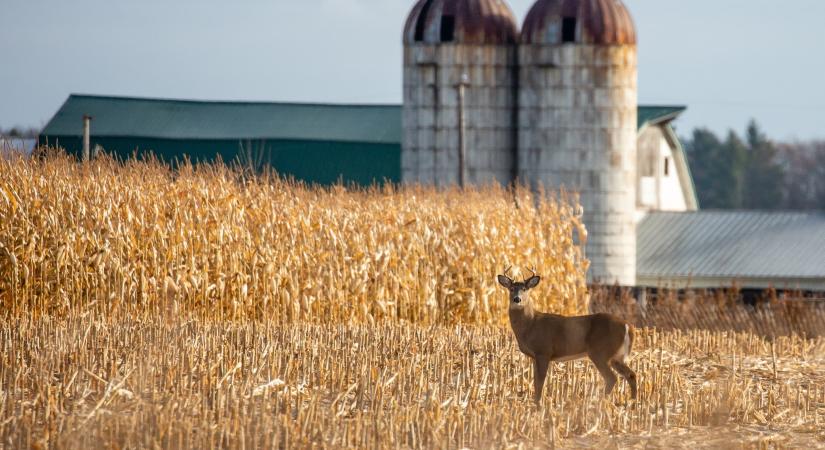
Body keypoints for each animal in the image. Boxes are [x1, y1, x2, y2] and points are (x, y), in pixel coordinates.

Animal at [496, 268, 636, 404]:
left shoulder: (543, 351)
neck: (530, 324)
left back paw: (599, 403)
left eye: (525, 289)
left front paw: (538, 405)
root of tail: (627, 326)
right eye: (511, 288)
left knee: (612, 378)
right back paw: (632, 403)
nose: (517, 299)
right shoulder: (535, 356)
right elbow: (535, 382)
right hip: (616, 356)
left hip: (600, 352)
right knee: (631, 374)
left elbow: (540, 382)